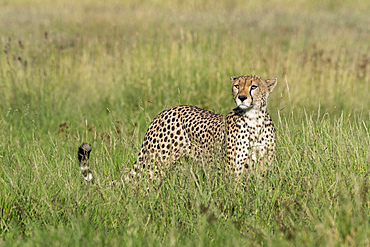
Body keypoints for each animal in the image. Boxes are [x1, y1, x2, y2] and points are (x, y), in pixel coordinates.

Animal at [134, 75, 276, 176]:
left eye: (254, 87)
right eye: (237, 86)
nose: (241, 97)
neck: (253, 119)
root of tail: (165, 111)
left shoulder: (265, 168)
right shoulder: (233, 171)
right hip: (155, 162)